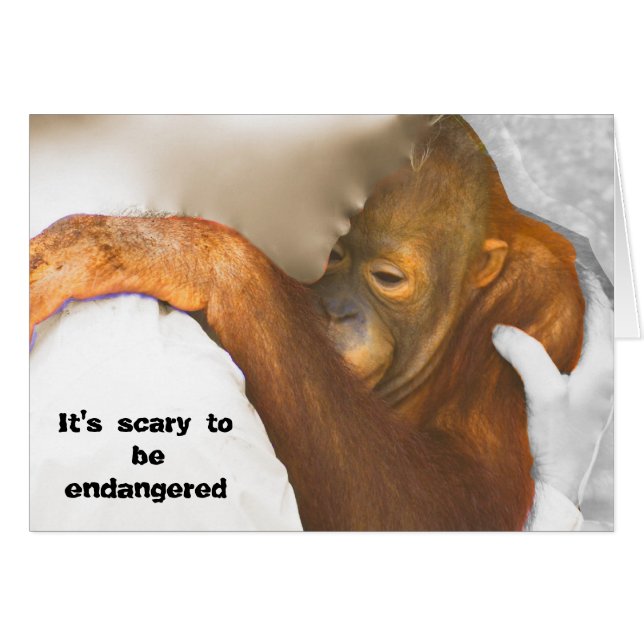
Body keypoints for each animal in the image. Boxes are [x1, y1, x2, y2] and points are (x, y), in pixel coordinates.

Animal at [29, 116, 585, 530]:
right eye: (335, 255)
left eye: (387, 278)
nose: (337, 312)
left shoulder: (539, 304)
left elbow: (456, 504)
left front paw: (191, 255)